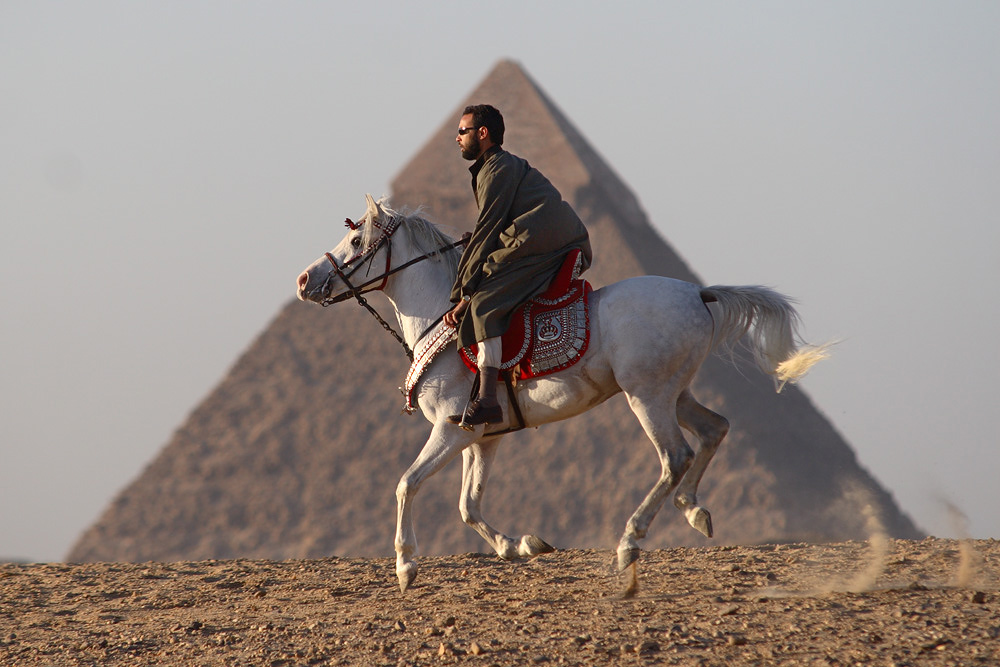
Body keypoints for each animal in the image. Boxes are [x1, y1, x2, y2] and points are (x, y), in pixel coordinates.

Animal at [296, 196, 828, 592]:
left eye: (357, 239)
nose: (305, 280)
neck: (440, 320)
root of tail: (698, 293)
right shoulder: (482, 437)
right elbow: (469, 506)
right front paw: (520, 545)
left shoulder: (449, 430)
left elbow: (407, 484)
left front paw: (406, 565)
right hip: (675, 392)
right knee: (715, 429)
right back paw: (694, 511)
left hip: (647, 396)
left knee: (675, 456)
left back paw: (629, 543)